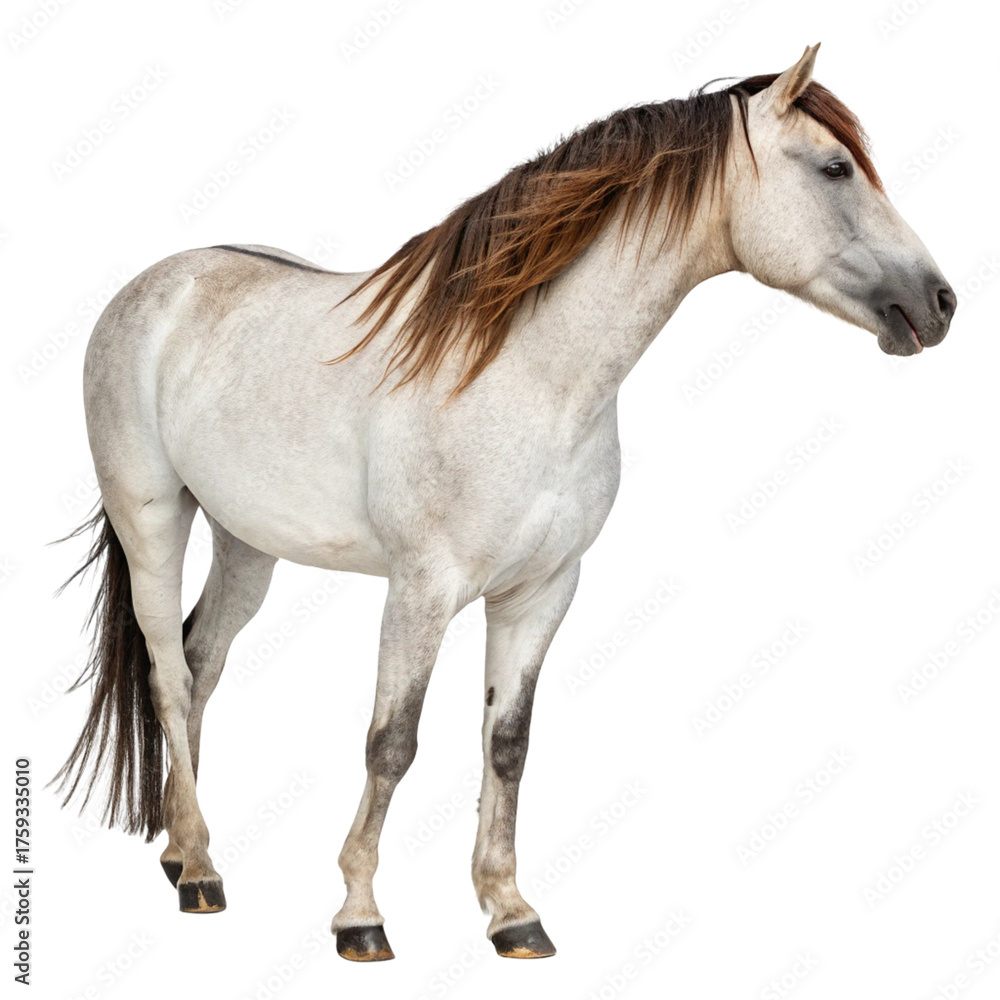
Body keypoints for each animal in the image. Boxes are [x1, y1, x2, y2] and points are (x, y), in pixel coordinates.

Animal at [51, 45, 956, 962]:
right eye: (835, 168)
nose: (941, 302)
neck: (523, 371)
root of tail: (159, 284)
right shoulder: (421, 590)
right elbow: (392, 744)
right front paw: (360, 916)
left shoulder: (541, 591)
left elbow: (508, 744)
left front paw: (511, 912)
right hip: (152, 521)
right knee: (167, 674)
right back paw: (202, 873)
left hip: (247, 542)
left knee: (203, 662)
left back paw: (182, 849)